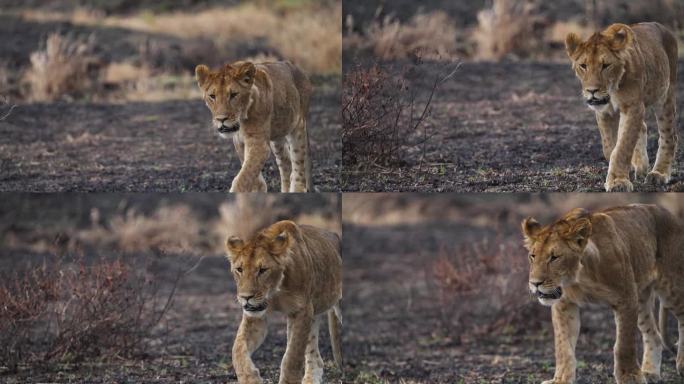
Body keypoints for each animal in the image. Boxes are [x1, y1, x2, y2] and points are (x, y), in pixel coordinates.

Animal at [196, 61, 314, 194]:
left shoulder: (259, 143)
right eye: (212, 96)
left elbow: (244, 176)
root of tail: (297, 67)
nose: (221, 119)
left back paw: (297, 187)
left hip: (297, 126)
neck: (241, 122)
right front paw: (257, 187)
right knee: (286, 163)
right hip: (277, 137)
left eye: (233, 95)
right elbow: (249, 169)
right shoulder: (239, 142)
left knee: (298, 163)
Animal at [224, 219, 342, 384]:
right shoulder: (256, 318)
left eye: (263, 270)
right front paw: (250, 378)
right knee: (315, 357)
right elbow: (238, 349)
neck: (275, 293)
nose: (246, 297)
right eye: (239, 269)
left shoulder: (303, 310)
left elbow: (292, 355)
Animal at [524, 204, 684, 384]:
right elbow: (563, 346)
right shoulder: (564, 305)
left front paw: (630, 377)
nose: (535, 283)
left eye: (554, 257)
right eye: (532, 256)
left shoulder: (626, 298)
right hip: (642, 297)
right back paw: (650, 373)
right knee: (653, 334)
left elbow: (624, 344)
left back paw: (681, 364)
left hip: (671, 288)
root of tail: (670, 214)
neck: (579, 278)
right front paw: (561, 380)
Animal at [568, 22, 680, 192]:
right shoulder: (605, 113)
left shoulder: (633, 106)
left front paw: (618, 181)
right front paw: (620, 174)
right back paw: (641, 167)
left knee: (669, 136)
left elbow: (623, 146)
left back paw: (659, 174)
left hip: (666, 94)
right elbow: (610, 147)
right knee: (643, 127)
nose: (592, 91)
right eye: (583, 65)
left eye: (606, 65)